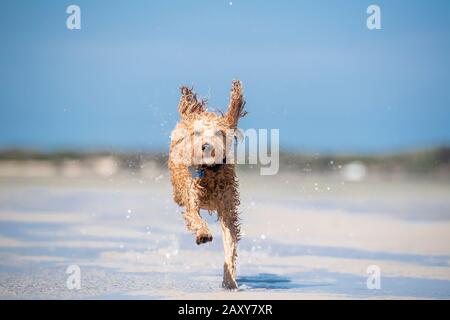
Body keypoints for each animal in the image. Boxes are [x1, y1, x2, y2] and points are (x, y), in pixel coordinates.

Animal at [169, 80, 246, 290]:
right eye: (197, 133)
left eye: (220, 133)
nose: (206, 146)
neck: (209, 172)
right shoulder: (191, 196)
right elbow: (194, 215)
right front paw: (203, 233)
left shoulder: (227, 208)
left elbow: (230, 242)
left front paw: (229, 281)